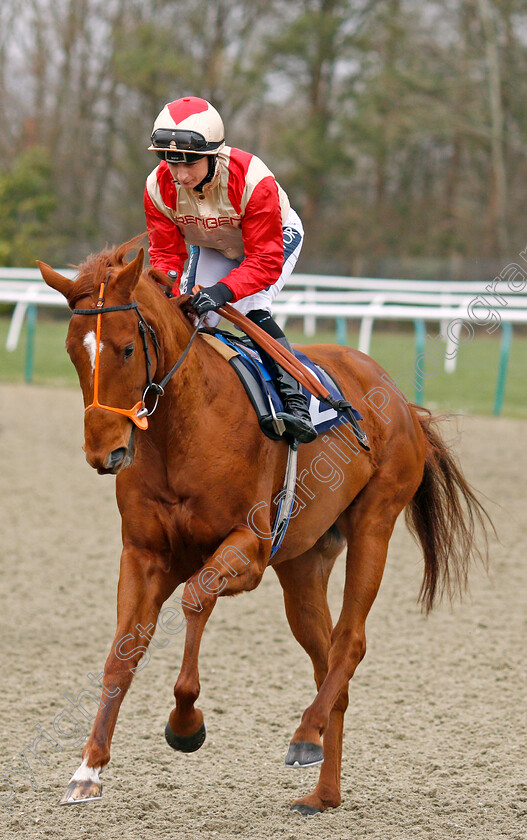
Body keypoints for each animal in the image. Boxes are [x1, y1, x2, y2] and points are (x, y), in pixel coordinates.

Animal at [38, 240, 490, 816]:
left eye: (125, 349)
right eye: (74, 351)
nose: (105, 452)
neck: (184, 427)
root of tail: (398, 396)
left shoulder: (248, 550)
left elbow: (195, 599)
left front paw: (185, 723)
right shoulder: (144, 553)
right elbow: (123, 650)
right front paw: (88, 769)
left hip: (374, 524)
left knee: (350, 643)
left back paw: (304, 734)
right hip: (303, 563)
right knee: (327, 661)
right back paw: (323, 792)